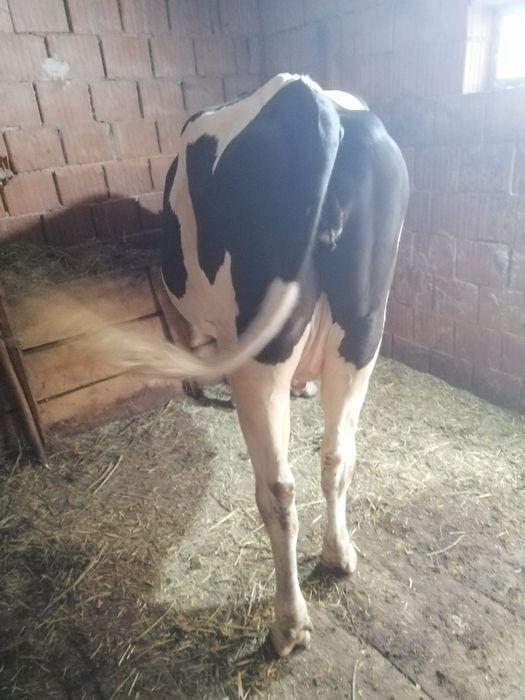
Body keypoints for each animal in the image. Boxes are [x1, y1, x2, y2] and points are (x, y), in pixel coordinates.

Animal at [123, 73, 409, 656]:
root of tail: (310, 100)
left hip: (261, 350)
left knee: (277, 488)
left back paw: (288, 624)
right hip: (364, 331)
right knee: (337, 454)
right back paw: (339, 555)